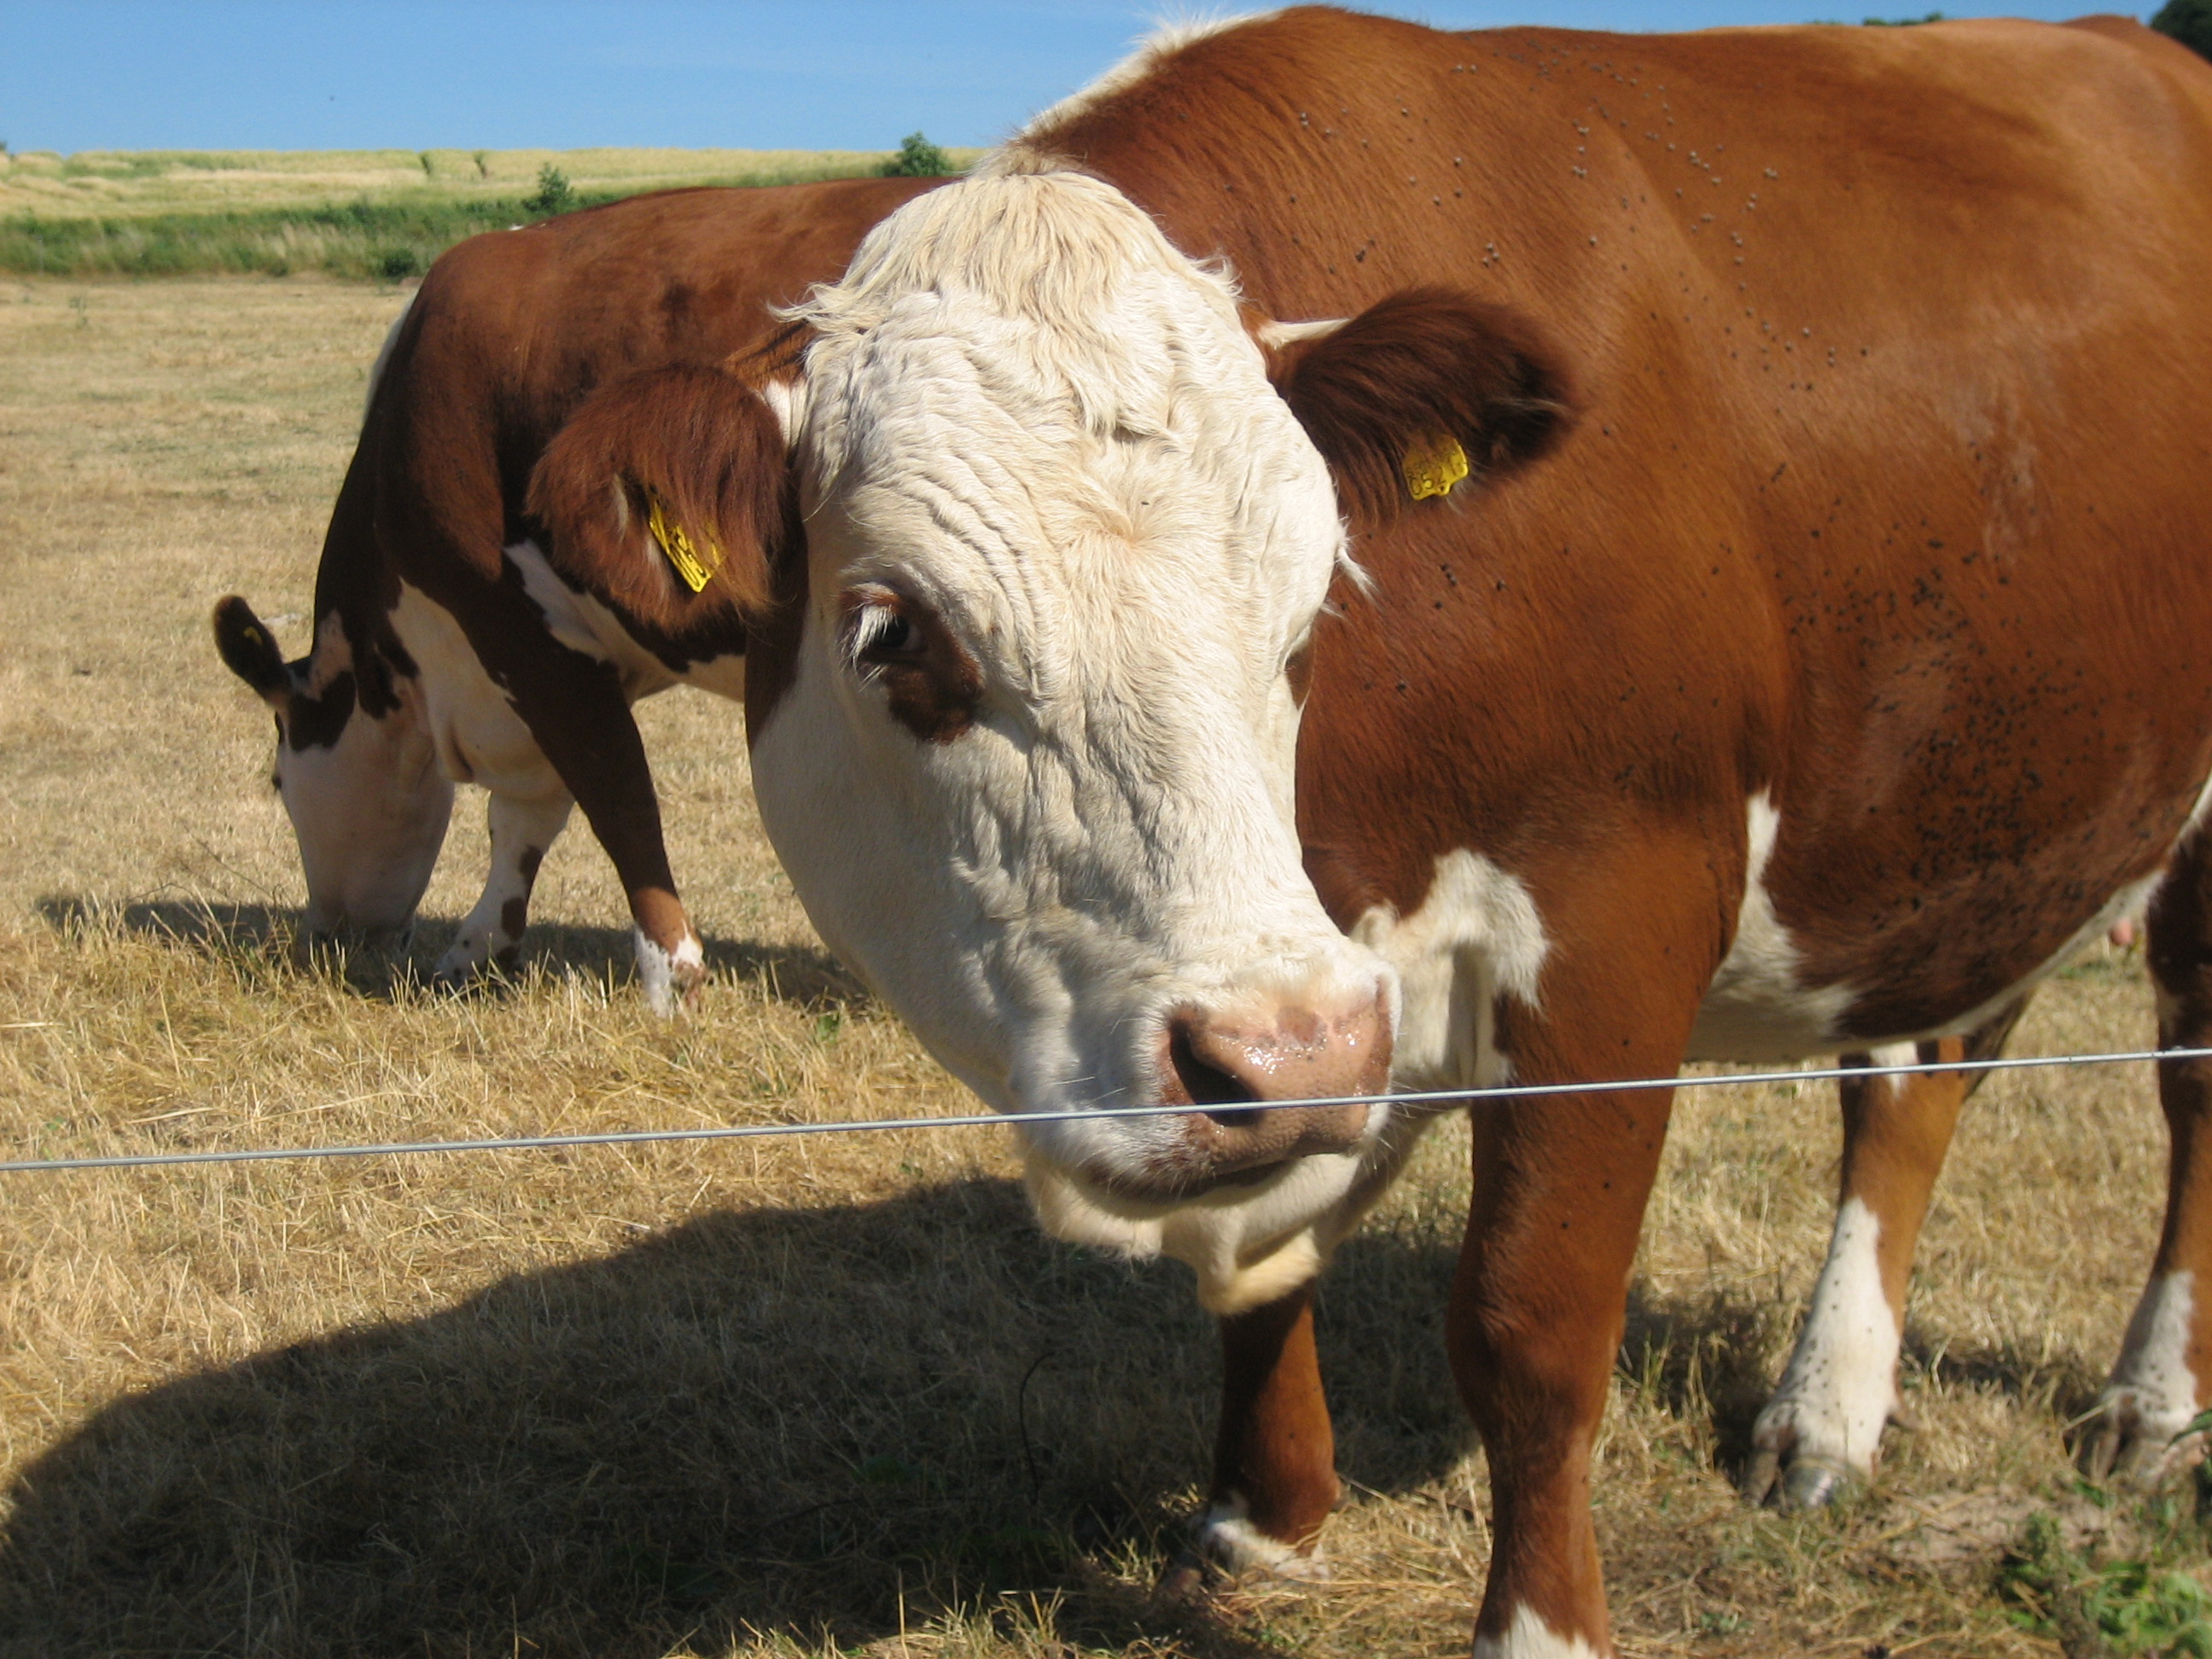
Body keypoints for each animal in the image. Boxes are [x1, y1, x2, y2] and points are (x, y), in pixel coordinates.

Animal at [218, 178, 951, 1013]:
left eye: (277, 782)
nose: (327, 935)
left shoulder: (516, 625)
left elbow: (614, 796)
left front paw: (670, 975)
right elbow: (526, 816)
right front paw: (477, 946)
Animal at [526, 16, 2203, 1659]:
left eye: (1317, 594)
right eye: (896, 636)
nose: (1301, 1047)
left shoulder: (1620, 907)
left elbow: (1532, 1324)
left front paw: (1539, 1627)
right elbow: (1259, 1263)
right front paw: (1265, 1520)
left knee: (2174, 1088)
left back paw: (2148, 1400)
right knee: (1918, 1075)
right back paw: (1828, 1411)